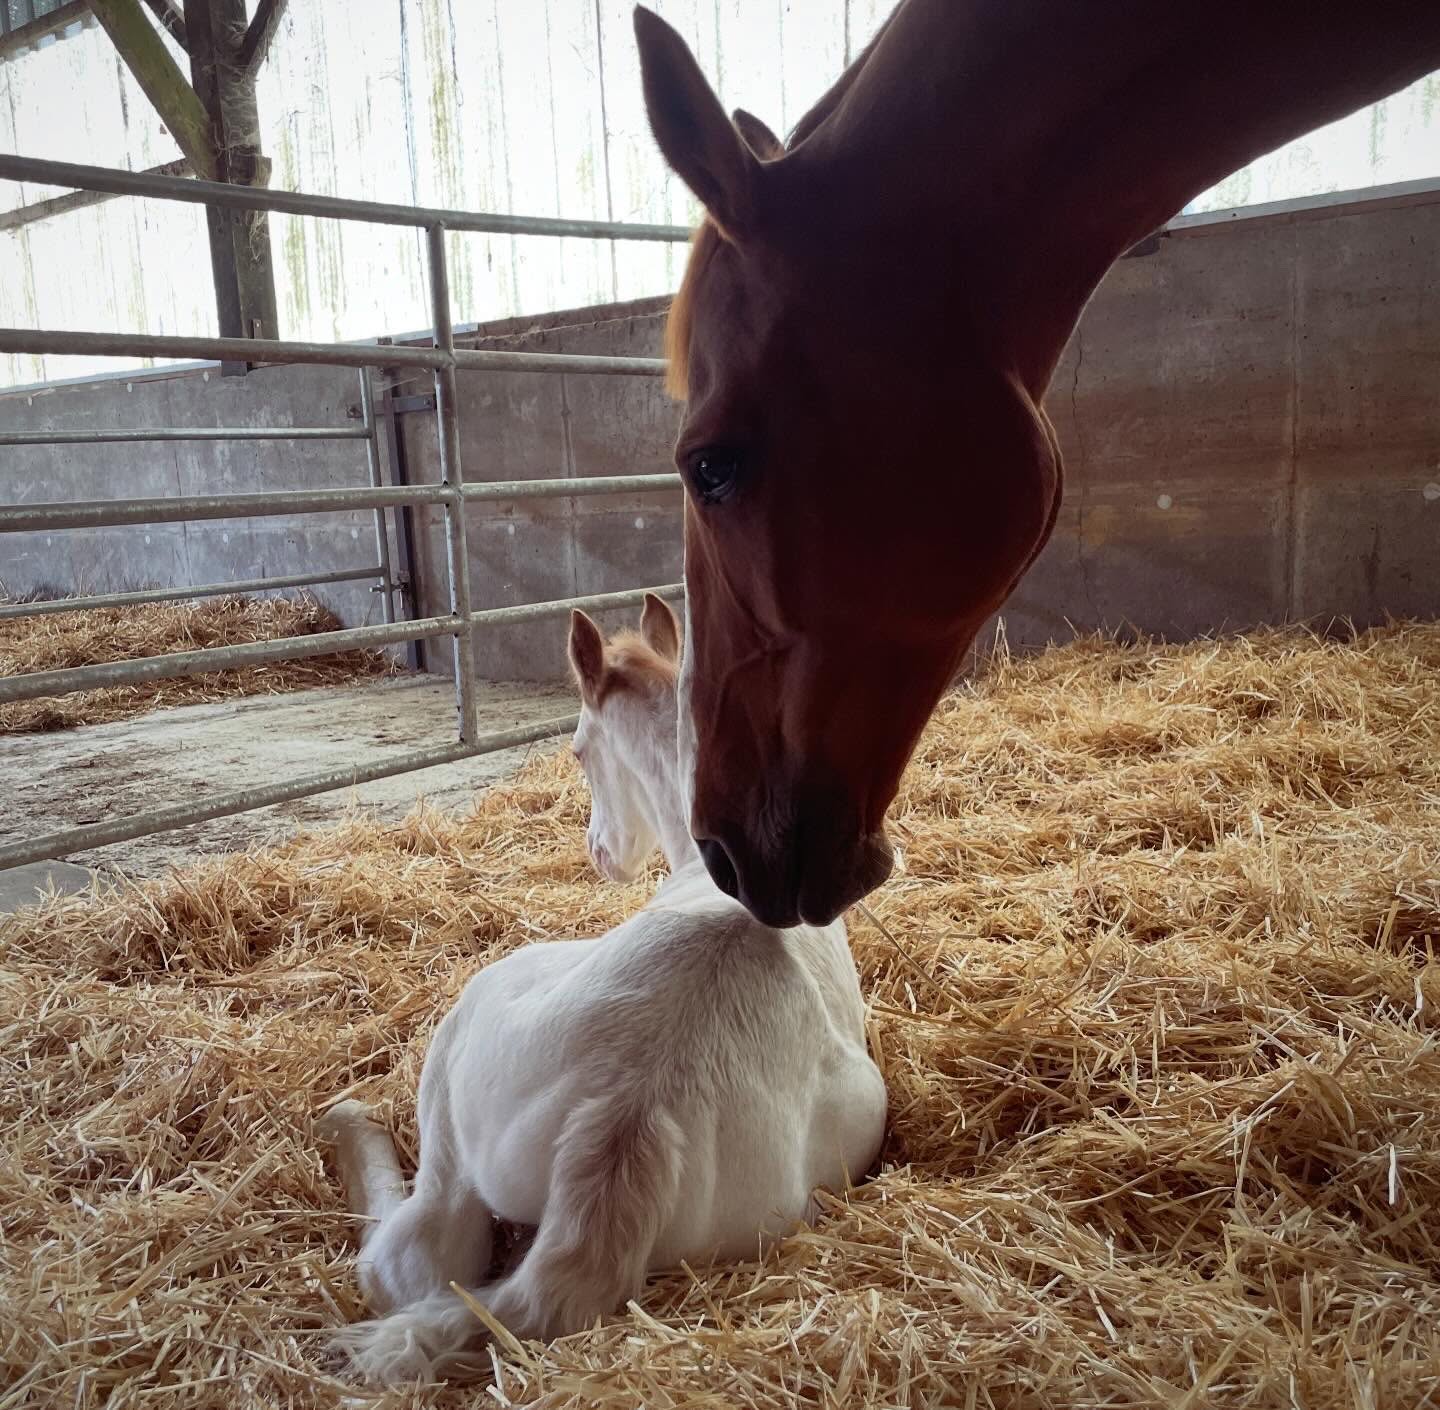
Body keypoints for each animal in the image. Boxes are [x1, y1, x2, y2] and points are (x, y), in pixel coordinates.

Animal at [319, 595, 886, 1383]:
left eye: (580, 751)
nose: (601, 854)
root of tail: (629, 1109)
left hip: (462, 1065)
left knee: (415, 1257)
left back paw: (345, 1119)